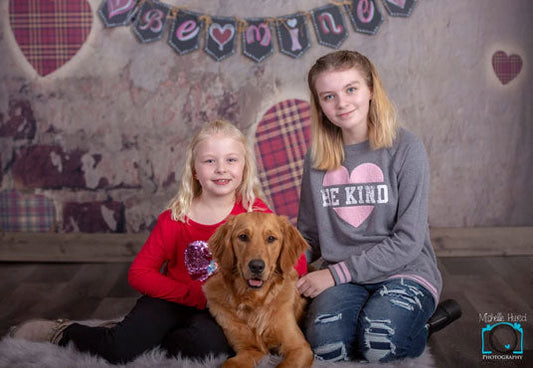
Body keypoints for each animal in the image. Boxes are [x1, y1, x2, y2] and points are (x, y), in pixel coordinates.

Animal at [203, 213, 312, 368]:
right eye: (243, 236)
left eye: (271, 238)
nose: (256, 266)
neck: (254, 301)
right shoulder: (248, 350)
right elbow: (229, 363)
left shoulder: (299, 347)